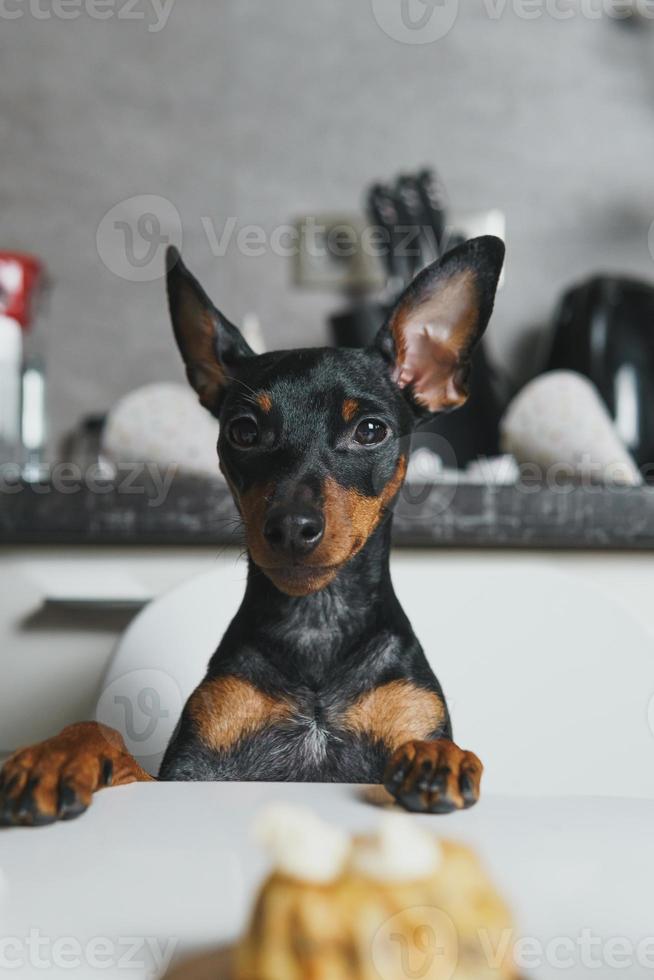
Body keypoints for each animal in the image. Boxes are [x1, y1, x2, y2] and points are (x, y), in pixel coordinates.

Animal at [0, 234, 508, 824]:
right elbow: (99, 728)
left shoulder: (410, 715)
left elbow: (436, 742)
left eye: (370, 430)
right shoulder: (186, 773)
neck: (315, 624)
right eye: (243, 431)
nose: (291, 527)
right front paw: (54, 757)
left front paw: (436, 757)